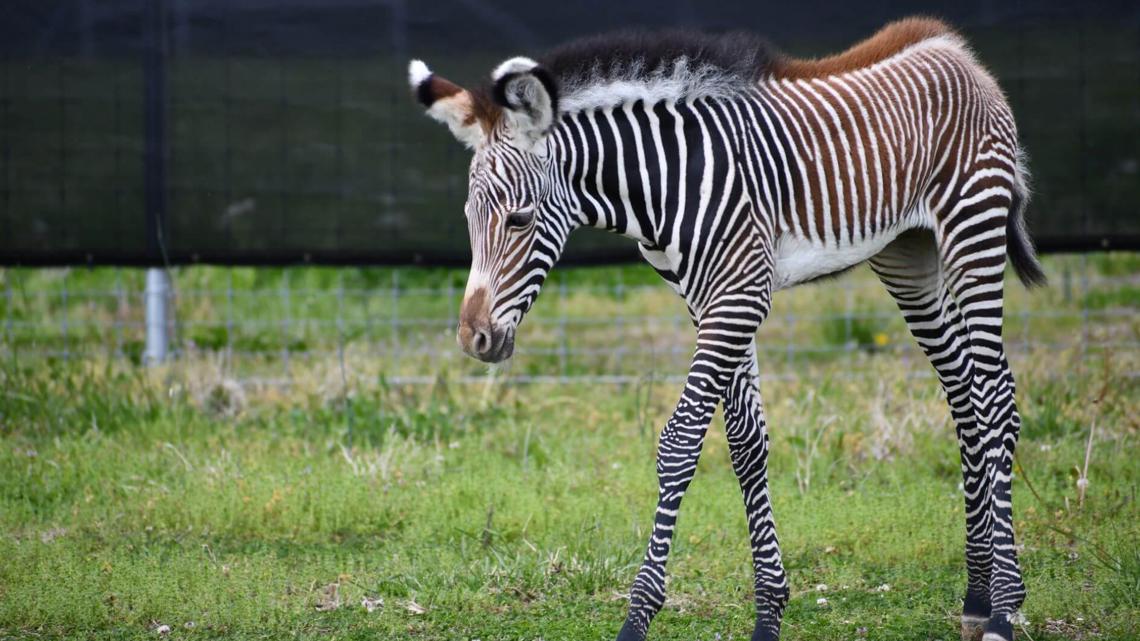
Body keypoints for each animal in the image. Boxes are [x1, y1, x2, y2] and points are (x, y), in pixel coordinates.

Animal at [408, 17, 1044, 634]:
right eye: (468, 219)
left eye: (519, 219)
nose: (473, 340)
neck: (662, 183)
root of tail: (954, 48)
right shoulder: (708, 301)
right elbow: (746, 445)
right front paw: (769, 611)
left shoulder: (738, 297)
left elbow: (680, 443)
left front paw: (638, 616)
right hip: (908, 256)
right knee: (963, 398)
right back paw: (977, 596)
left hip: (972, 229)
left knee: (996, 401)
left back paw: (1004, 608)